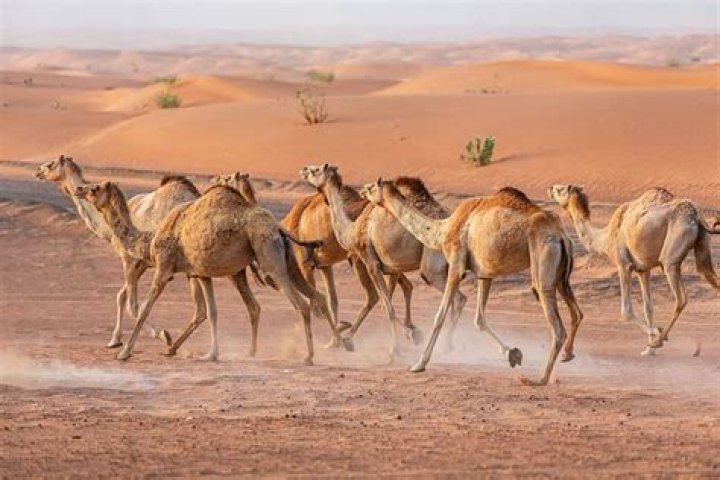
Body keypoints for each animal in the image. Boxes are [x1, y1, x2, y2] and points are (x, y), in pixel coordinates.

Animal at [35, 155, 200, 347]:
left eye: (50, 164)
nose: (37, 170)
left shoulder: (130, 259)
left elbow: (133, 305)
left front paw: (161, 334)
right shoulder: (143, 263)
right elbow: (121, 296)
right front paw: (115, 339)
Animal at [76, 181, 352, 363]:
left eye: (94, 189)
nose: (79, 189)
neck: (150, 238)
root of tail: (278, 226)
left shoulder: (164, 268)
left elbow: (145, 308)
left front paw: (125, 352)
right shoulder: (201, 274)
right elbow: (210, 311)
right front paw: (207, 354)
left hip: (269, 257)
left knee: (301, 305)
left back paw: (308, 356)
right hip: (285, 260)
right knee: (314, 297)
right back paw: (339, 345)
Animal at [300, 165, 467, 358]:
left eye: (315, 170)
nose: (303, 169)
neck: (352, 230)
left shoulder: (371, 262)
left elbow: (387, 307)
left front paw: (395, 348)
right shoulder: (392, 267)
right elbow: (389, 302)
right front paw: (411, 333)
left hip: (432, 266)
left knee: (457, 297)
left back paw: (446, 346)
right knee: (454, 299)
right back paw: (449, 344)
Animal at [361, 177, 584, 386]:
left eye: (372, 187)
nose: (363, 191)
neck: (441, 229)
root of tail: (561, 234)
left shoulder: (456, 264)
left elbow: (439, 316)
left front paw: (419, 364)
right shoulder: (485, 273)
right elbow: (479, 319)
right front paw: (512, 354)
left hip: (543, 260)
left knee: (556, 326)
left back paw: (537, 380)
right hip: (562, 274)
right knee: (576, 312)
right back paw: (567, 355)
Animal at [549, 185, 719, 354]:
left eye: (560, 189)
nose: (550, 188)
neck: (605, 238)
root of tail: (696, 214)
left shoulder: (623, 265)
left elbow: (626, 312)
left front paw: (656, 334)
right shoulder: (642, 270)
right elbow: (648, 308)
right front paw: (648, 350)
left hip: (670, 258)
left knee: (680, 298)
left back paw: (658, 340)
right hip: (702, 245)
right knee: (708, 274)